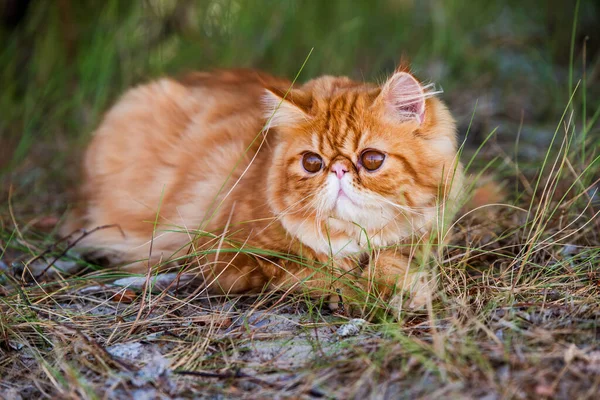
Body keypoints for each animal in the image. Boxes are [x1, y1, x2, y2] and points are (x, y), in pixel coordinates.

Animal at [61, 65, 464, 316]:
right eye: (312, 163)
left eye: (371, 159)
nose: (337, 169)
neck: (351, 238)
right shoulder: (232, 259)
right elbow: (309, 271)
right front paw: (352, 294)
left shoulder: (423, 237)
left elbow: (393, 261)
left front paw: (400, 289)